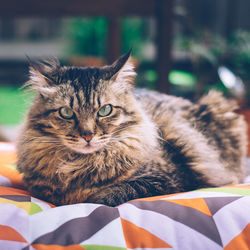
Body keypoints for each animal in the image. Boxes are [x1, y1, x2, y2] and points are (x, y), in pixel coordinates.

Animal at [16, 51, 248, 206]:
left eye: (105, 110)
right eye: (66, 112)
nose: (88, 135)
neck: (81, 164)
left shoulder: (168, 178)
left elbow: (111, 194)